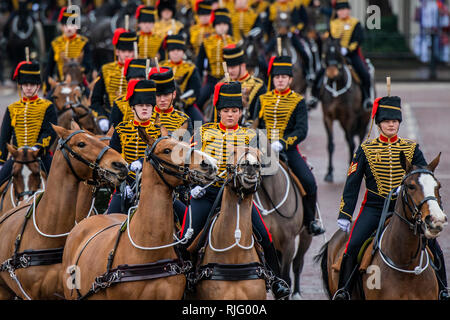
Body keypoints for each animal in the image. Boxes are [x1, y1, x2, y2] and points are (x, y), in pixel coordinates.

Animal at [318, 37, 370, 182]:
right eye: (325, 52)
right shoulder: (327, 117)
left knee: (358, 139)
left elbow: (352, 143)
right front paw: (329, 172)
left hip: (363, 120)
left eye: (338, 53)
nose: (331, 72)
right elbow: (330, 144)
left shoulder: (350, 118)